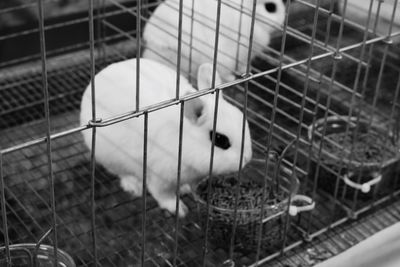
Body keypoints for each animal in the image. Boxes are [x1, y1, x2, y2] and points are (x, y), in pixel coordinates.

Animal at [79, 58, 252, 218]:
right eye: (220, 139)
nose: (246, 159)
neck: (183, 141)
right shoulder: (159, 177)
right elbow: (163, 195)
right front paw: (179, 210)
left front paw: (185, 190)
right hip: (111, 157)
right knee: (121, 172)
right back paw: (134, 186)